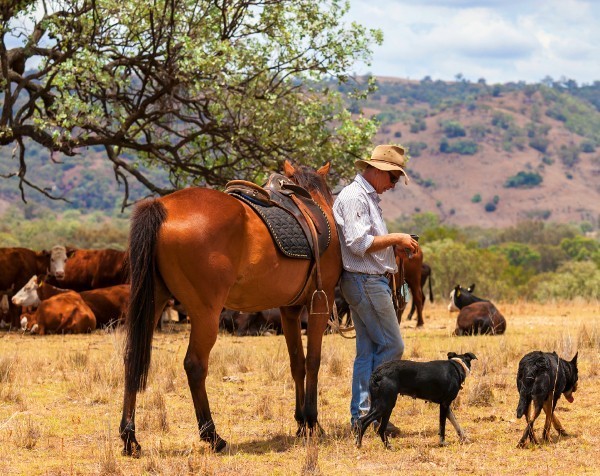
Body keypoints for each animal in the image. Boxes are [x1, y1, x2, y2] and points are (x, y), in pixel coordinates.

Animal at [120, 160, 342, 454]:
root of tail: (163, 207)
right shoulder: (320, 302)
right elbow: (314, 362)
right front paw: (312, 422)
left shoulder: (289, 310)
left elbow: (298, 362)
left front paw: (301, 422)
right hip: (205, 314)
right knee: (194, 365)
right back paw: (212, 436)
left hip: (153, 302)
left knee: (132, 360)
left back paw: (129, 437)